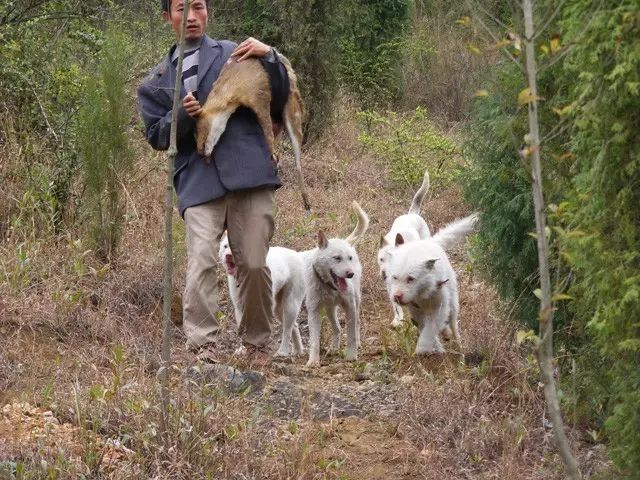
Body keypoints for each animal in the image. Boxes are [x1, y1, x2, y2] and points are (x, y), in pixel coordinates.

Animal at [300, 201, 370, 366]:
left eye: (349, 258)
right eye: (337, 258)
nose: (350, 274)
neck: (329, 286)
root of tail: (345, 241)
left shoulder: (350, 306)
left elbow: (351, 335)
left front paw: (351, 356)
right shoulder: (313, 311)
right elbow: (314, 340)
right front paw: (313, 361)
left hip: (357, 301)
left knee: (357, 324)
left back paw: (357, 343)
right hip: (330, 309)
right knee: (337, 328)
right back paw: (333, 348)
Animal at [378, 169, 432, 326]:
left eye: (394, 259)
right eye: (381, 259)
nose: (383, 274)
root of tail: (412, 213)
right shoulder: (391, 285)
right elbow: (396, 304)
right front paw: (398, 319)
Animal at [382, 213, 478, 352]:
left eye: (411, 279)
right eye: (394, 277)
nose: (396, 296)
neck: (422, 293)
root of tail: (428, 242)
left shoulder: (440, 308)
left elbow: (430, 330)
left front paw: (425, 347)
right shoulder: (416, 313)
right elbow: (426, 330)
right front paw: (436, 347)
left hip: (453, 304)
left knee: (453, 323)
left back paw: (458, 342)